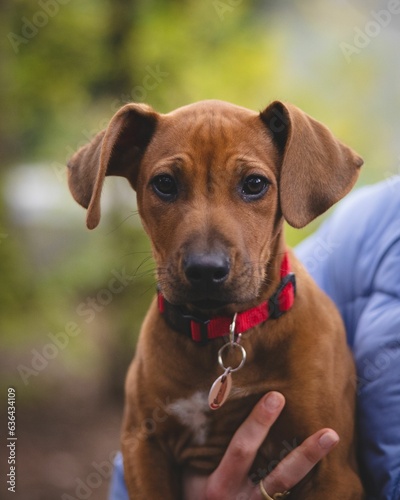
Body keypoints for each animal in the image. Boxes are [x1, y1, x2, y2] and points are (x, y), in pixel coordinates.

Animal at [68, 99, 362, 498]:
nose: (205, 270)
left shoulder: (332, 465)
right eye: (164, 184)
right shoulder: (142, 445)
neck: (224, 331)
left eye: (254, 184)